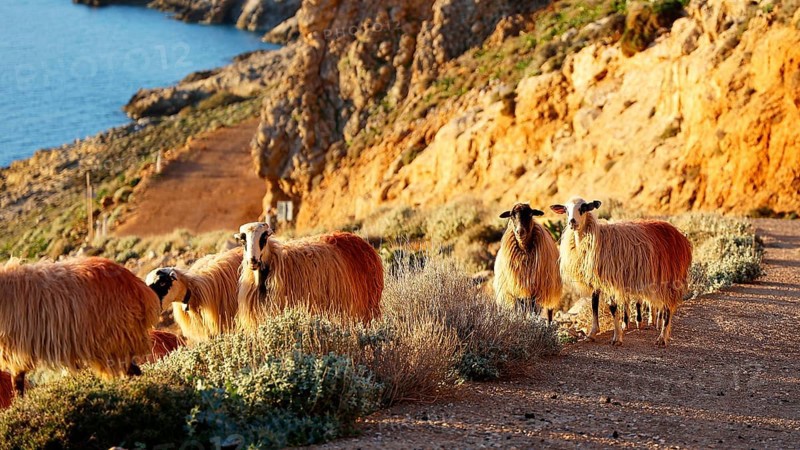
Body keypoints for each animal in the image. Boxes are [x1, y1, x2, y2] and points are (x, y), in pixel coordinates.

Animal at [0, 257, 161, 397]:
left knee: (131, 370)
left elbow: (17, 381)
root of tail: (137, 285)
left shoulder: (17, 351)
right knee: (132, 370)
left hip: (114, 341)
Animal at [551, 197, 692, 346]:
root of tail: (680, 236)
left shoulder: (610, 280)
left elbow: (613, 307)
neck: (595, 237)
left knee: (667, 307)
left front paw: (617, 337)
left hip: (670, 277)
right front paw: (592, 334)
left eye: (583, 208)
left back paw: (662, 337)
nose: (572, 222)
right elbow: (594, 304)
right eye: (566, 210)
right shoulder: (597, 280)